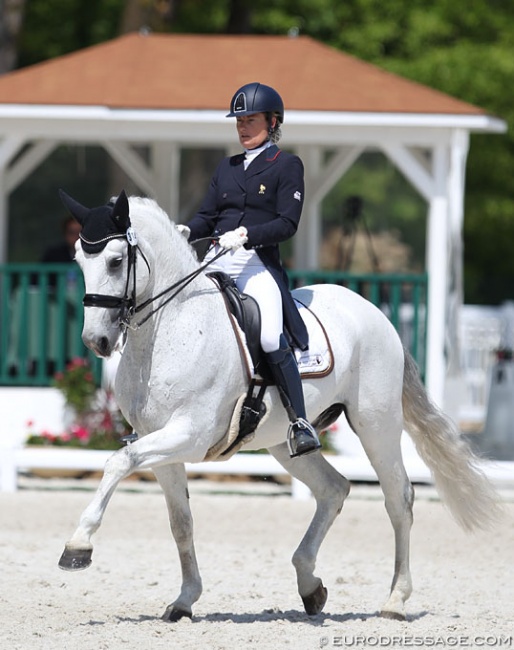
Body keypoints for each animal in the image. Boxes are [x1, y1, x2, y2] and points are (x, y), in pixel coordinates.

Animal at [57, 190, 500, 620]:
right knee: (333, 489)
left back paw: (394, 601)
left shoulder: (190, 436)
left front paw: (78, 546)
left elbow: (117, 463)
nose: (96, 341)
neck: (171, 330)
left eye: (116, 261)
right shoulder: (159, 442)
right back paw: (310, 587)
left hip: (377, 426)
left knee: (399, 499)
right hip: (284, 443)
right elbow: (180, 522)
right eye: (79, 259)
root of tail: (374, 312)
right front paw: (184, 600)